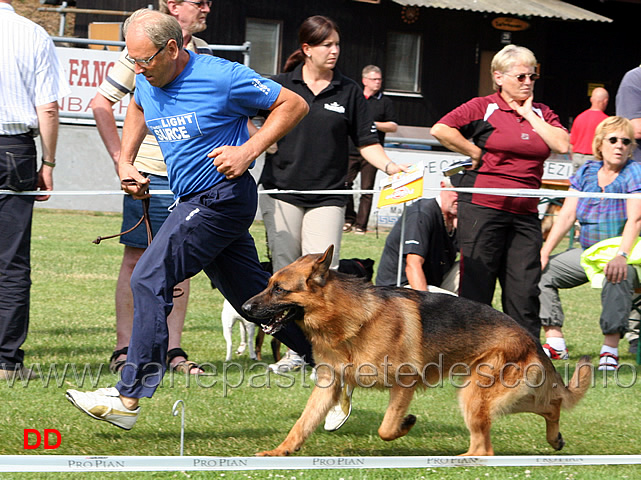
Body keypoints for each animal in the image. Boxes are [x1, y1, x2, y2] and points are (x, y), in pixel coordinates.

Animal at [242, 246, 592, 456]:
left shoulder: (404, 383)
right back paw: (554, 438)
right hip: (495, 395)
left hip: (475, 395)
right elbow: (302, 424)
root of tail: (530, 337)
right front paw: (281, 452)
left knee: (485, 448)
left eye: (279, 289)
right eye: (268, 283)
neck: (348, 318)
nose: (244, 308)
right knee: (551, 405)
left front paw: (405, 425)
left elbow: (385, 427)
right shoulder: (328, 386)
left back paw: (460, 460)